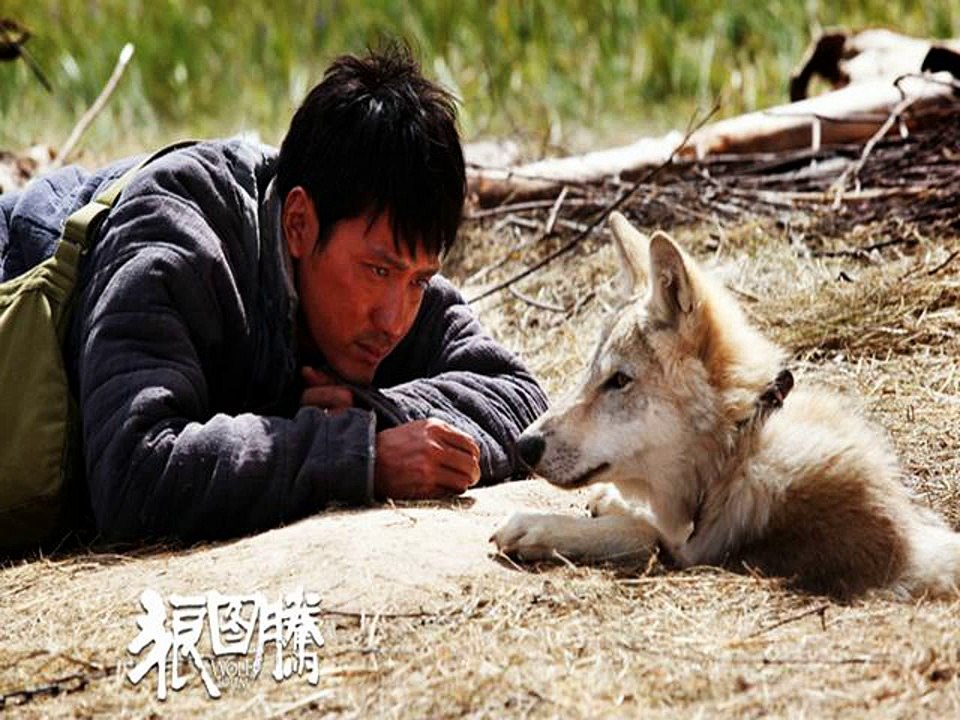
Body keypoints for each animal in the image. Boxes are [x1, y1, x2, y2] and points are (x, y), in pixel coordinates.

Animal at [492, 212, 960, 599]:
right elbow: (645, 520)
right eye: (590, 373)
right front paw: (611, 501)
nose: (524, 444)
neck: (736, 447)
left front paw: (541, 526)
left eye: (619, 381)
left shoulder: (698, 553)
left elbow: (641, 532)